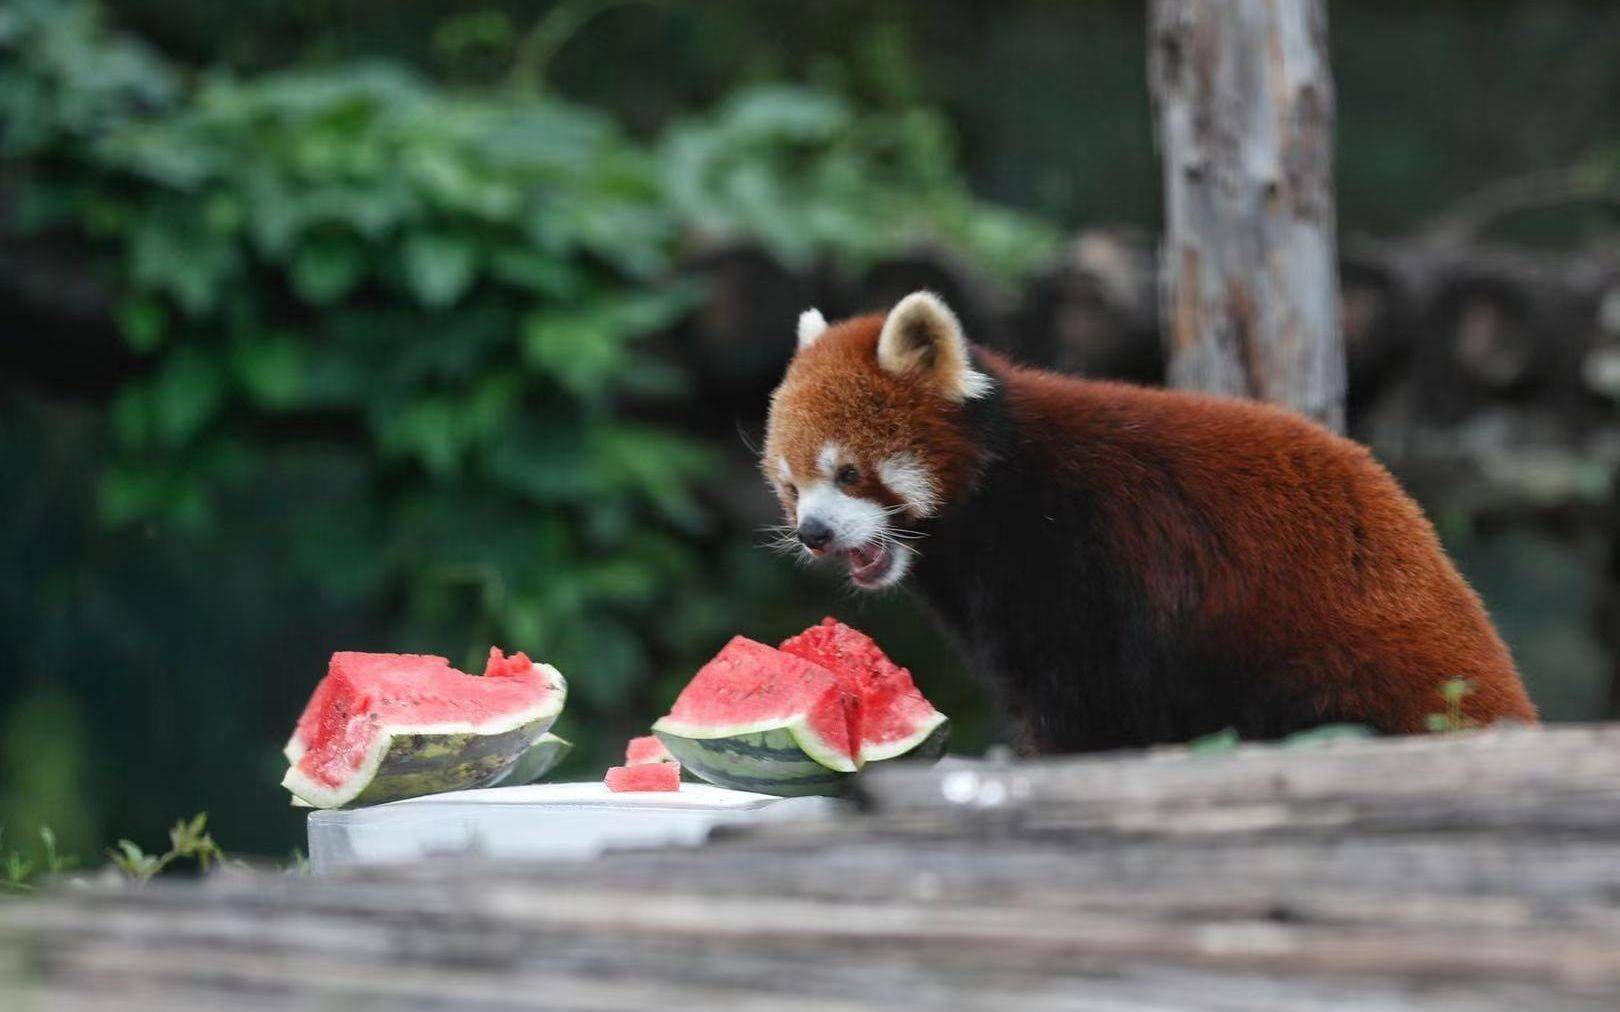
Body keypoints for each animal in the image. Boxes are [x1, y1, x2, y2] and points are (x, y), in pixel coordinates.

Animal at [764, 289, 1535, 751]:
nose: (815, 534)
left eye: (849, 472)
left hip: (1338, 659)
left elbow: (1083, 703)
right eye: (791, 487)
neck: (996, 492)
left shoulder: (1083, 554)